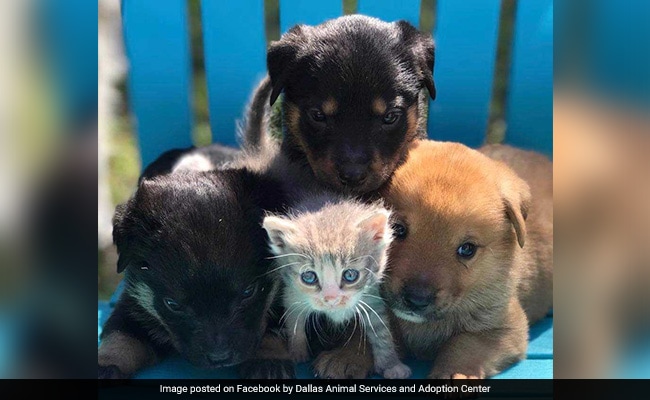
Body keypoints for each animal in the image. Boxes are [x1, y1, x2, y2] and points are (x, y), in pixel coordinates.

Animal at [96, 156, 288, 378]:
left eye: (249, 292)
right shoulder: (133, 302)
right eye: (172, 304)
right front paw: (105, 364)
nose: (219, 358)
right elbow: (121, 336)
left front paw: (269, 359)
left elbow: (280, 325)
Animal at [260, 195, 408, 380]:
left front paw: (391, 364)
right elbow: (295, 319)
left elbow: (381, 331)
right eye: (309, 277)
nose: (331, 299)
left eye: (350, 275)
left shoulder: (371, 295)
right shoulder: (292, 292)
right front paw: (297, 351)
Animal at [380, 141, 552, 378]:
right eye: (397, 229)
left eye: (467, 249)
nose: (417, 299)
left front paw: (453, 373)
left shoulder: (505, 327)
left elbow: (465, 344)